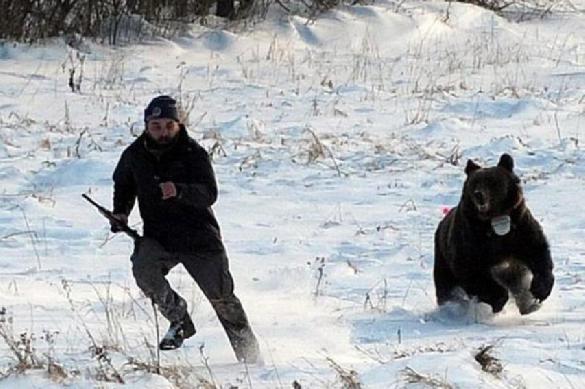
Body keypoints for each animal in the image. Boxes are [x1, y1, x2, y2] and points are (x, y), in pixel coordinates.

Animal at [434, 153, 552, 314]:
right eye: (474, 183)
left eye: (492, 181)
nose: (479, 195)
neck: (495, 220)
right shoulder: (471, 243)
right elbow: (474, 273)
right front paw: (497, 300)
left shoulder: (520, 230)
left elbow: (539, 255)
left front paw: (540, 291)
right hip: (443, 261)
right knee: (446, 288)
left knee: (519, 285)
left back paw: (528, 304)